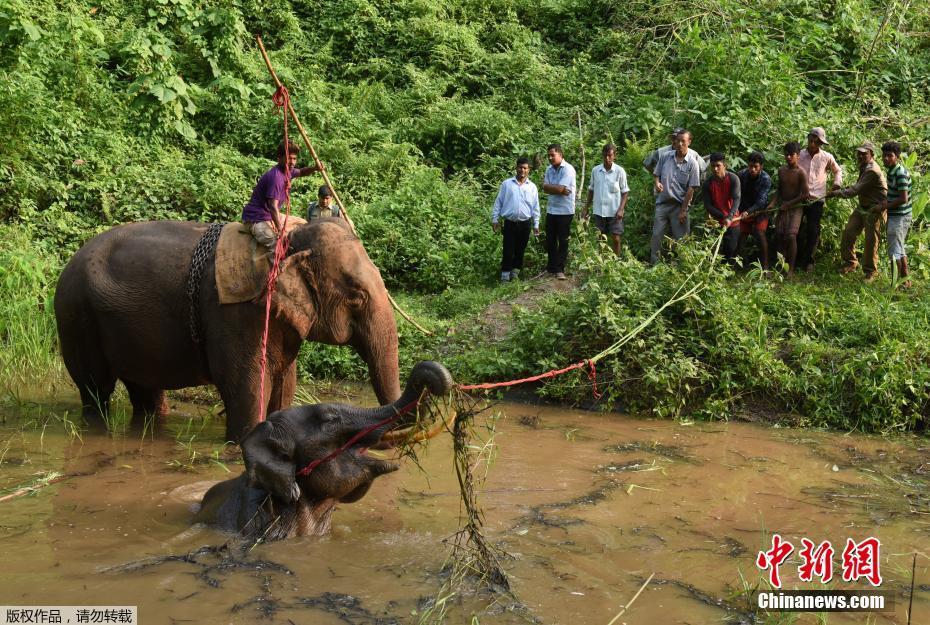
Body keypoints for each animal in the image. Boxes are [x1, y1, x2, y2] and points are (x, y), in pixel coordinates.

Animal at [52, 217, 396, 442]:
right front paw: (242, 446)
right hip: (76, 317)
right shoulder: (237, 313)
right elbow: (246, 383)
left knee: (144, 389)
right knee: (95, 389)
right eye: (356, 296)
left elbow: (285, 380)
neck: (289, 239)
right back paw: (97, 429)